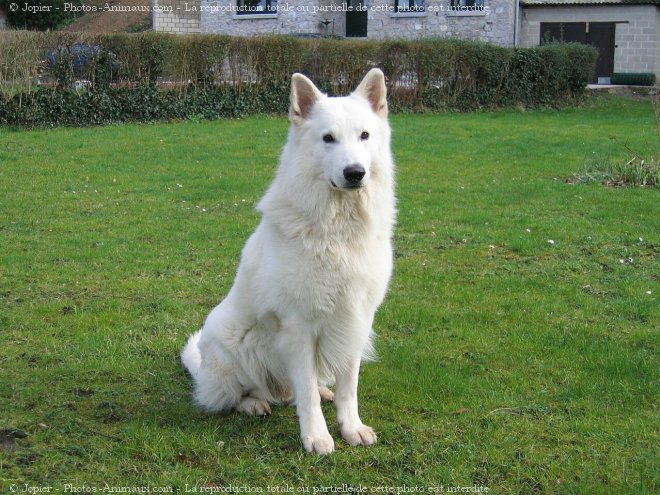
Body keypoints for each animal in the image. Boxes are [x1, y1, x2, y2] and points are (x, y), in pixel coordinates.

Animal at [183, 70, 394, 458]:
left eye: (364, 135)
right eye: (328, 138)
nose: (355, 173)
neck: (337, 229)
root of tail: (200, 367)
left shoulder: (355, 320)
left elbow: (348, 387)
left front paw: (351, 427)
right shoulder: (298, 327)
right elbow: (306, 395)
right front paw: (317, 437)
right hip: (233, 345)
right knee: (236, 395)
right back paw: (253, 403)